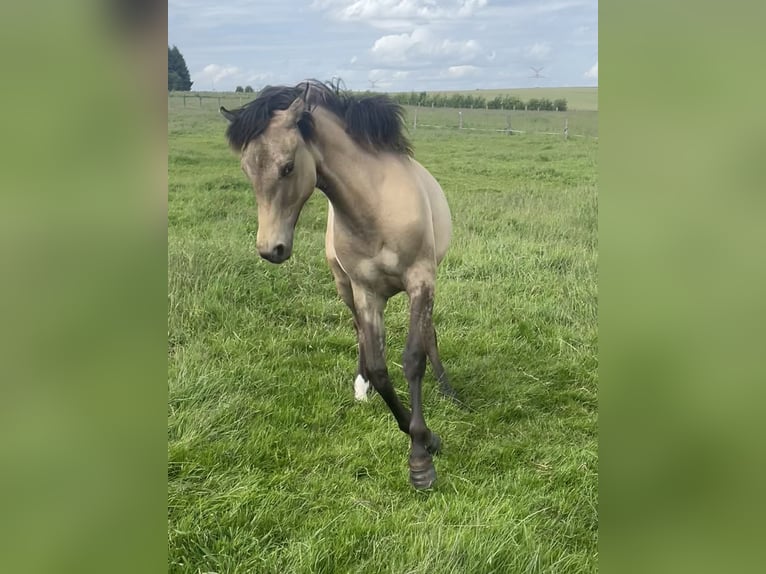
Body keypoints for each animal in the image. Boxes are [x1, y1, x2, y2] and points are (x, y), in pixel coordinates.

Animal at [220, 79, 454, 489]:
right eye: (247, 169)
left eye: (288, 166)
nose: (270, 249)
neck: (374, 208)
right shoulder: (366, 292)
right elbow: (379, 367)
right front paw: (421, 440)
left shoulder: (420, 281)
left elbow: (413, 359)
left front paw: (421, 458)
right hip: (345, 287)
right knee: (361, 333)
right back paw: (361, 387)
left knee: (427, 333)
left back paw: (445, 386)